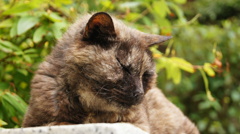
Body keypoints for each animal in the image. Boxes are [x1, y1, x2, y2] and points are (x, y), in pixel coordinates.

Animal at [22, 12, 199, 133]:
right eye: (123, 66)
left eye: (145, 76)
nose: (139, 93)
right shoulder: (32, 123)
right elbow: (57, 122)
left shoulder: (138, 125)